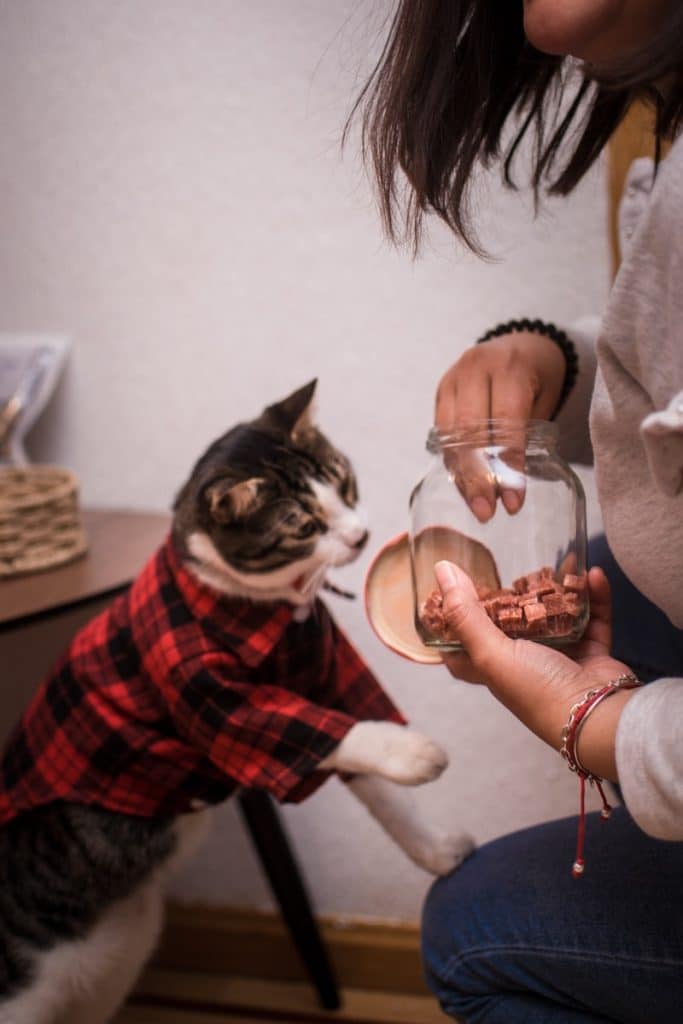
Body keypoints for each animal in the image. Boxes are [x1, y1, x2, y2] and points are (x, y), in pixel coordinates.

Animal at [0, 380, 473, 1019]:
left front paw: (436, 852)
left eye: (344, 481)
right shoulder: (207, 694)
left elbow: (377, 785)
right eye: (304, 525)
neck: (271, 611)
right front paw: (415, 754)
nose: (359, 536)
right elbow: (305, 731)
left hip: (118, 955)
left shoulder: (327, 675)